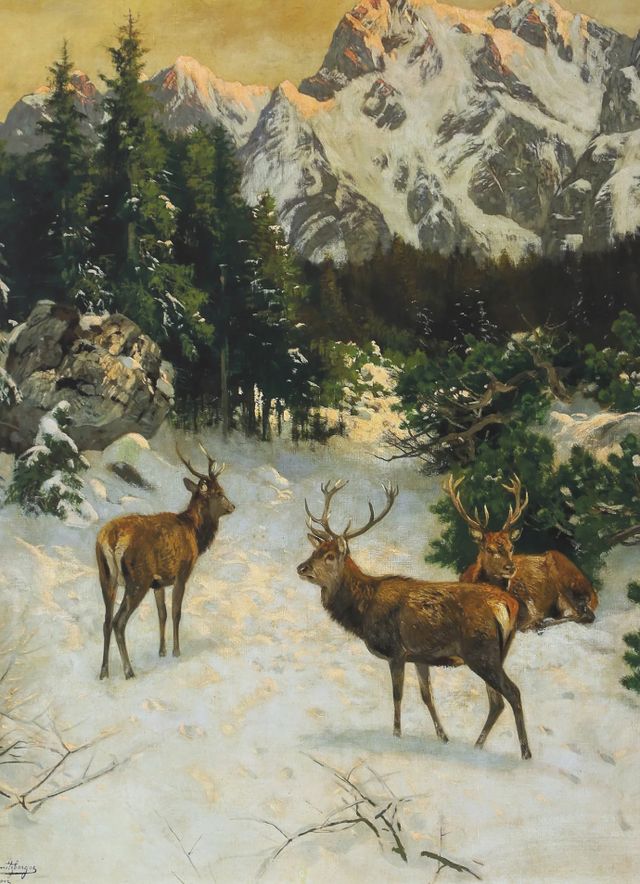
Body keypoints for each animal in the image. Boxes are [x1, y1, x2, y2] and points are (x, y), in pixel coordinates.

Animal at [96, 442, 235, 680]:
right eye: (219, 493)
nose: (233, 506)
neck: (195, 534)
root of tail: (110, 539)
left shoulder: (158, 583)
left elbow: (162, 614)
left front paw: (161, 651)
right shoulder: (181, 573)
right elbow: (176, 612)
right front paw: (176, 651)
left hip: (106, 577)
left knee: (106, 621)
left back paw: (104, 672)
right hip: (137, 580)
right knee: (118, 622)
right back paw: (128, 671)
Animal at [297, 480, 532, 760]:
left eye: (330, 556)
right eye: (315, 550)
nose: (301, 568)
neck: (363, 611)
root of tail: (507, 604)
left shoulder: (396, 651)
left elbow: (397, 695)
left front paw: (397, 735)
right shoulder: (421, 656)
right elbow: (426, 696)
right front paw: (443, 737)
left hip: (481, 652)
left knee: (513, 693)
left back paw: (525, 753)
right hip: (498, 653)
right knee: (497, 701)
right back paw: (478, 746)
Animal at [445, 475, 598, 632]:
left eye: (511, 547)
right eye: (488, 548)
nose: (511, 568)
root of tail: (592, 591)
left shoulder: (529, 606)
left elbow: (524, 622)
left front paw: (536, 622)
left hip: (566, 582)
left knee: (586, 614)